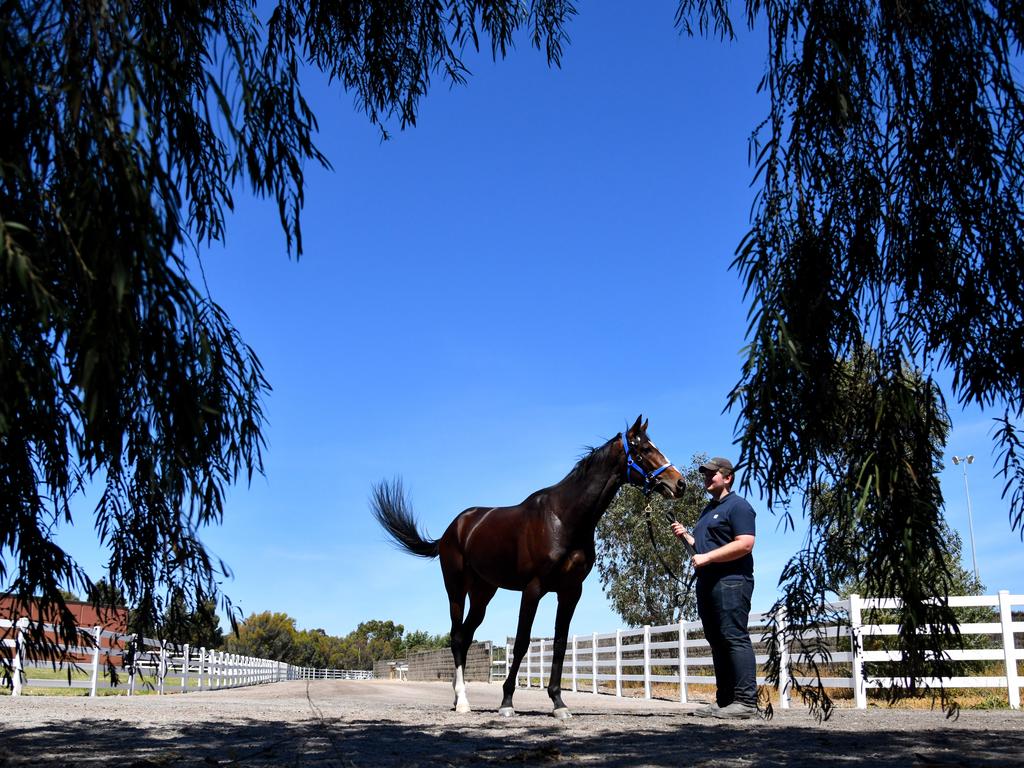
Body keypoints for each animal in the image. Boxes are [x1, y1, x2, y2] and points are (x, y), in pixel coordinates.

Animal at [372, 417, 684, 720]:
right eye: (643, 450)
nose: (679, 483)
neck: (563, 518)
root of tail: (452, 530)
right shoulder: (533, 589)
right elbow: (521, 643)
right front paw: (507, 702)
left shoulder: (571, 592)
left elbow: (559, 644)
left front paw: (558, 703)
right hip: (456, 588)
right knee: (457, 637)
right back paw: (463, 701)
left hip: (483, 593)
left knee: (466, 636)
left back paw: (457, 697)